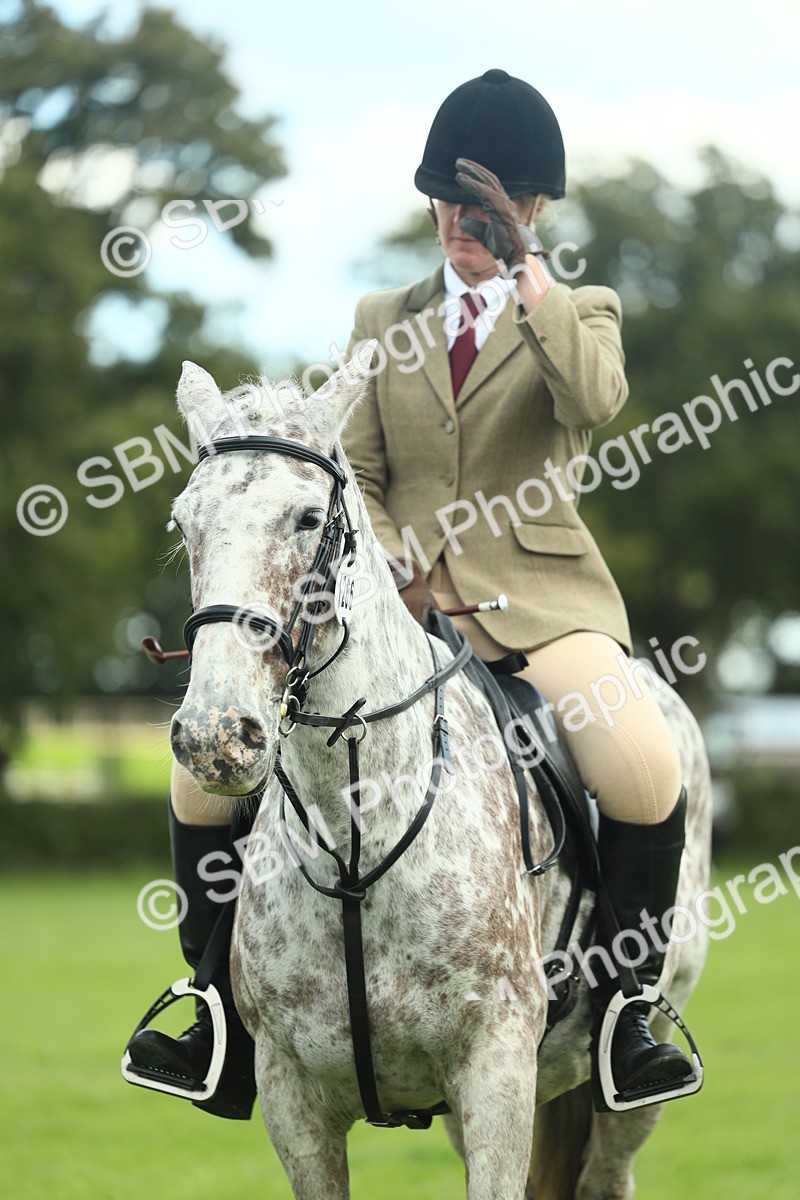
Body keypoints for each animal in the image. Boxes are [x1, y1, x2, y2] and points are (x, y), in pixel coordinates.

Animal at [167, 344, 712, 1200]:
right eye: (184, 522)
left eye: (308, 519)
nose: (216, 734)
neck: (355, 832)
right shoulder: (293, 1096)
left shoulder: (495, 1071)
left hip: (634, 1068)